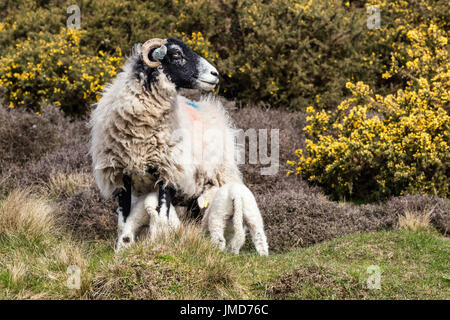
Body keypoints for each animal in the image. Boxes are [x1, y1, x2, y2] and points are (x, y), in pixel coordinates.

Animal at [88, 38, 243, 242]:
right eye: (176, 54)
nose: (215, 74)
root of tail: (211, 108)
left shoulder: (168, 172)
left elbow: (162, 217)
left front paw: (160, 240)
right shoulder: (120, 174)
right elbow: (123, 220)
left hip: (218, 176)